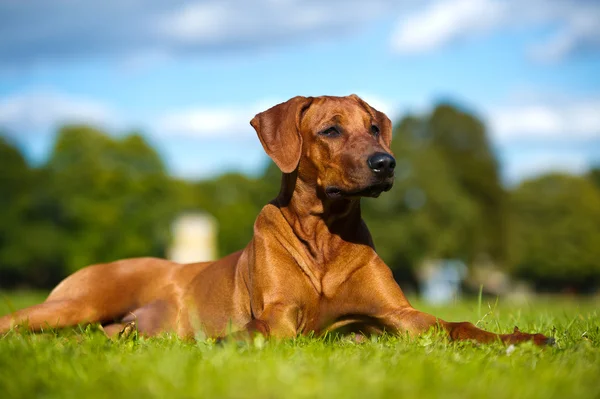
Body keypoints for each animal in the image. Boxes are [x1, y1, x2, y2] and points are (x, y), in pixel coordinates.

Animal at [1, 94, 552, 346]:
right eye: (331, 130)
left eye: (375, 128)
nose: (386, 163)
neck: (324, 235)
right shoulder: (281, 313)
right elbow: (267, 329)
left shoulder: (399, 314)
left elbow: (457, 325)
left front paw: (520, 340)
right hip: (80, 302)